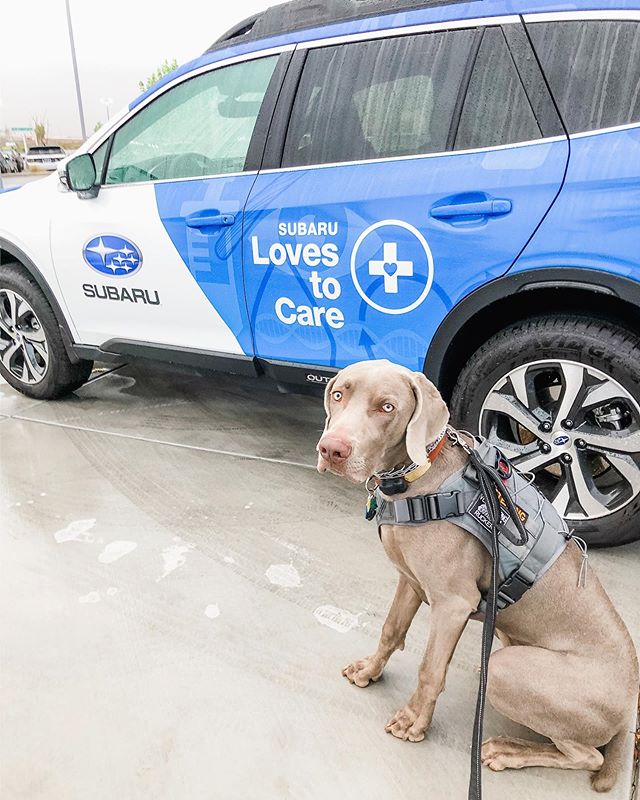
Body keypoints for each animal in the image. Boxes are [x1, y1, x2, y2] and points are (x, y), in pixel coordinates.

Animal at [318, 360, 636, 792]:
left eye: (387, 407)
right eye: (338, 394)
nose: (332, 449)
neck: (417, 478)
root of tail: (629, 712)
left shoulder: (453, 603)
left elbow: (430, 669)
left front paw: (413, 722)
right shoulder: (410, 580)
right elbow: (391, 630)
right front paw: (369, 671)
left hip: (504, 669)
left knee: (588, 755)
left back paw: (509, 751)